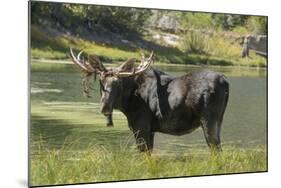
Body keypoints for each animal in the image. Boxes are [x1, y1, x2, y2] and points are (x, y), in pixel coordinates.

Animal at [69, 48, 228, 153]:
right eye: (101, 81)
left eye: (118, 84)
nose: (105, 107)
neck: (127, 104)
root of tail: (225, 82)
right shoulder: (150, 130)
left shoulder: (141, 126)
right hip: (219, 121)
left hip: (208, 119)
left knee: (216, 149)